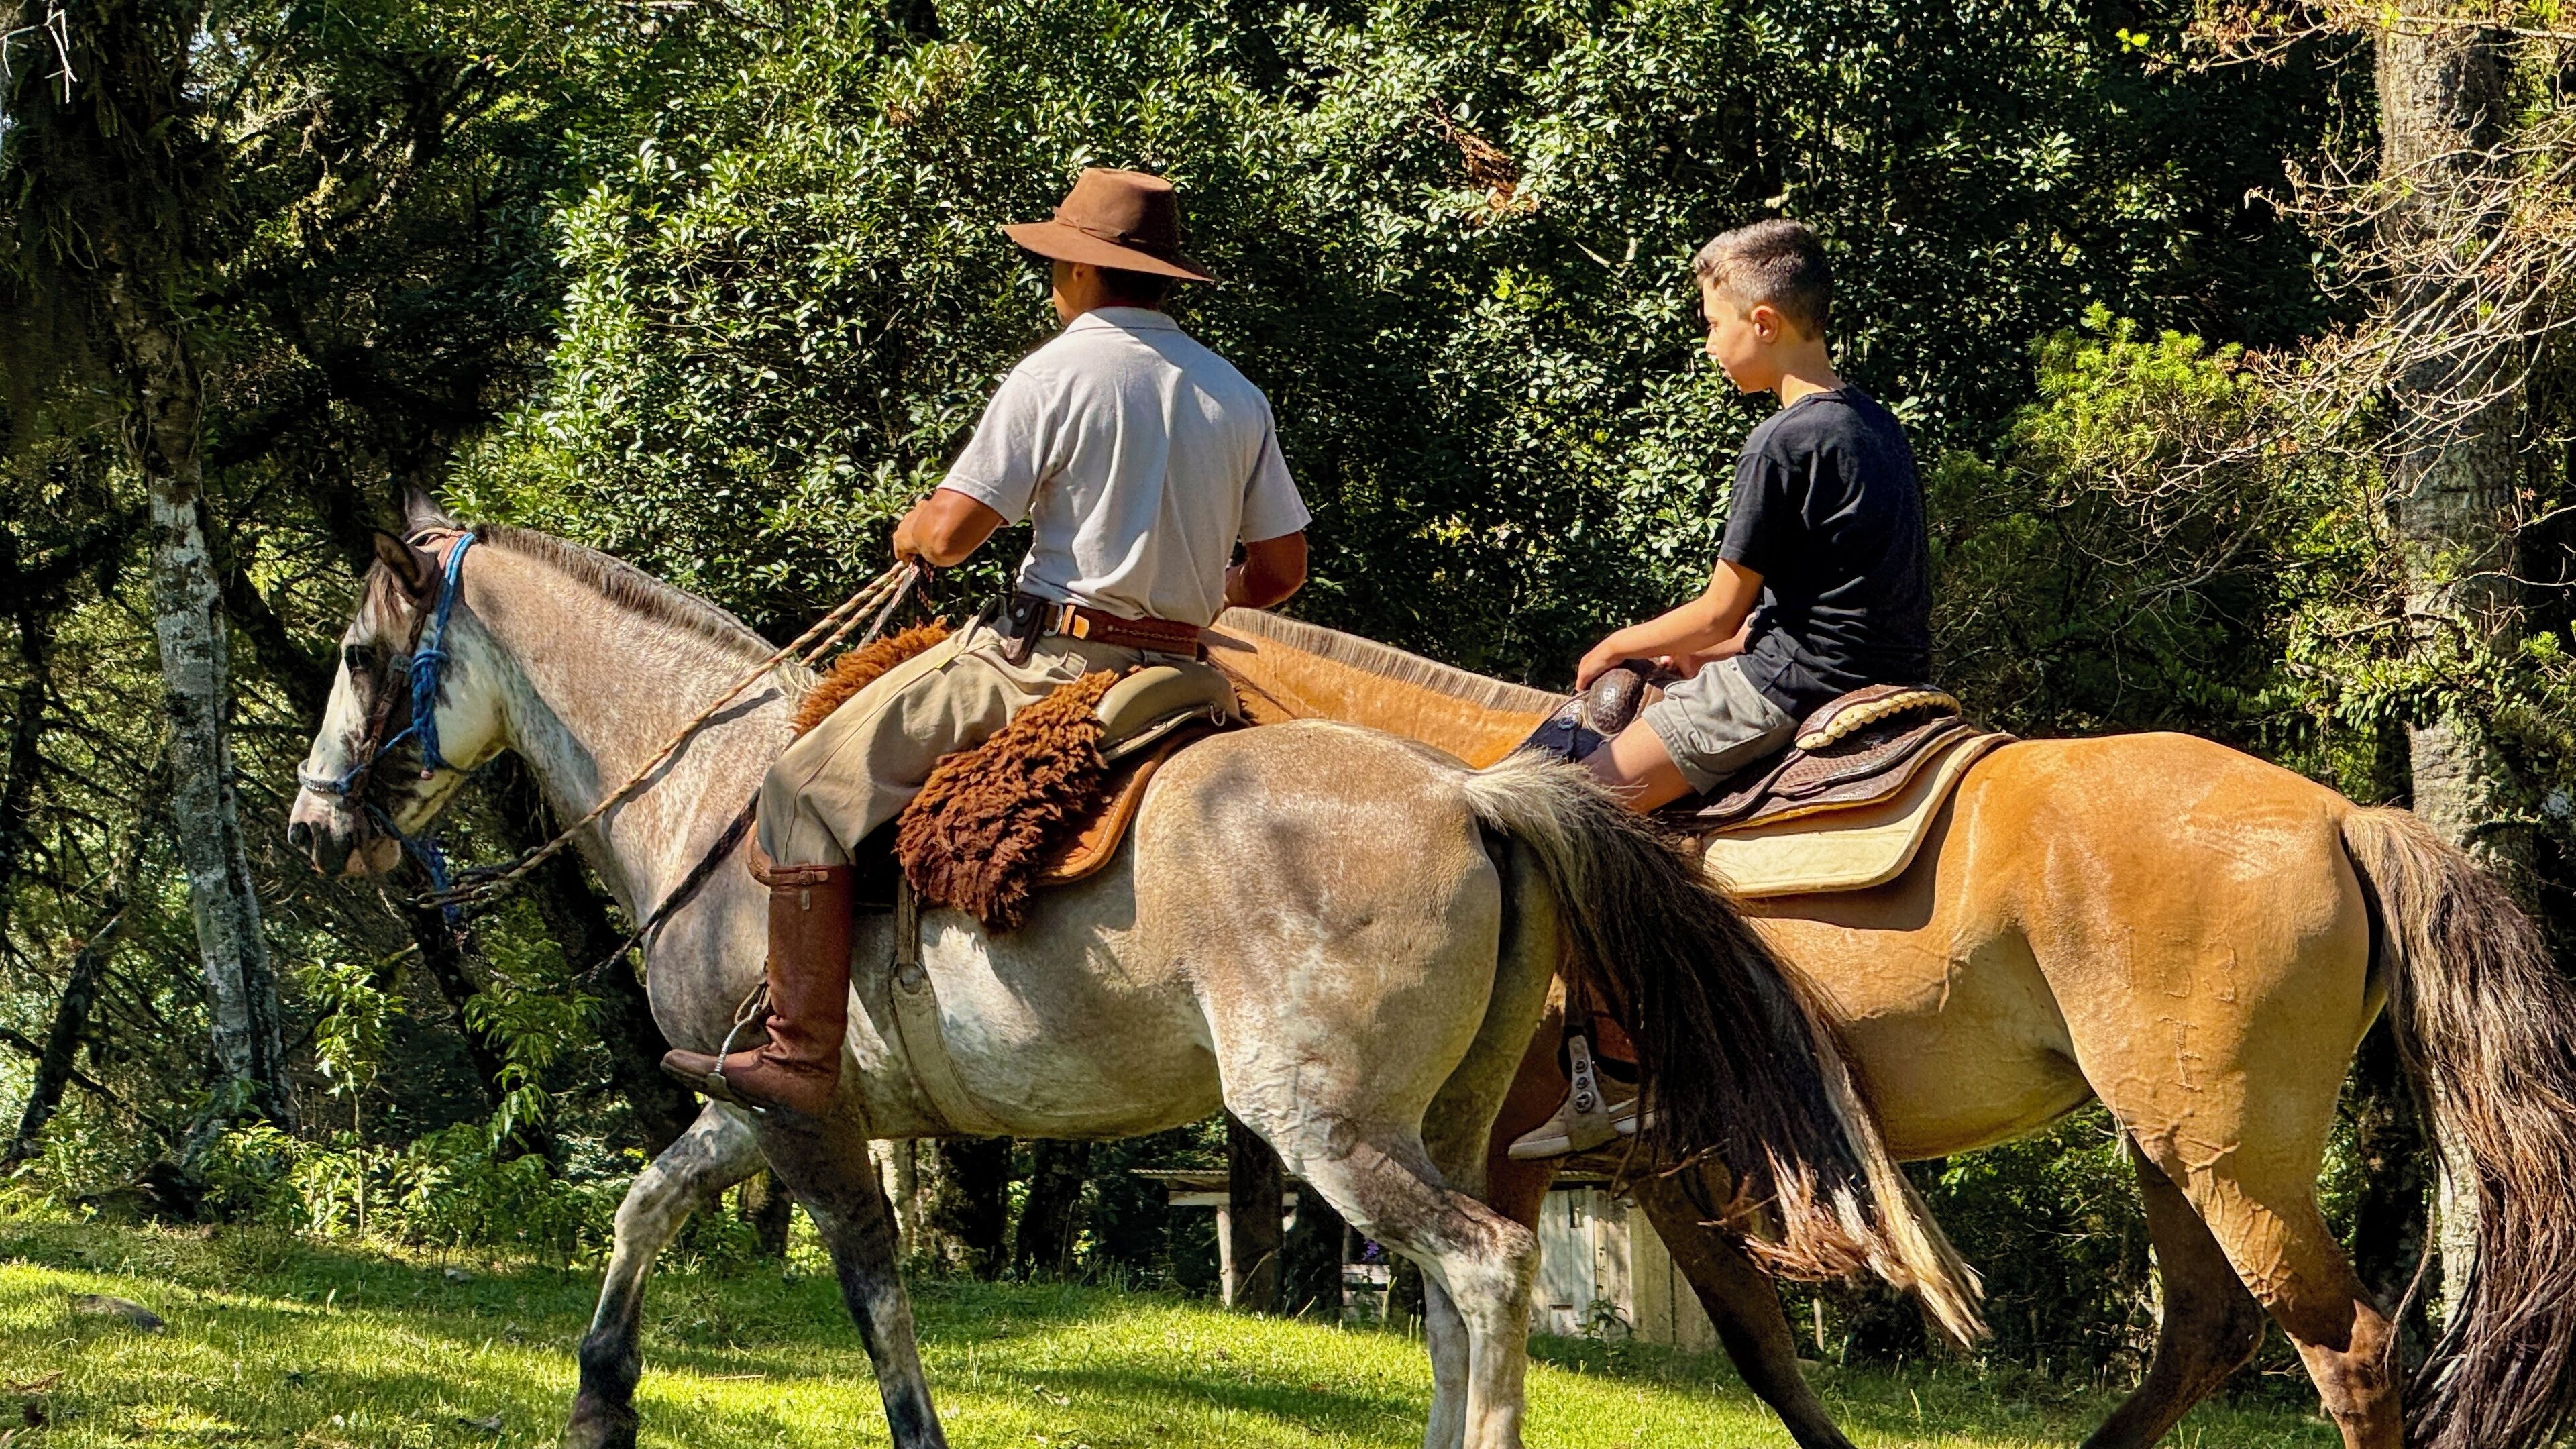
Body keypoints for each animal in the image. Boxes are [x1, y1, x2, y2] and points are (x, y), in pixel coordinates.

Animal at [284, 522, 1976, 1449]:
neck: (709, 785)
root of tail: (1474, 796)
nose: (309, 828)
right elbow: (645, 1209)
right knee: (1448, 1297)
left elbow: (870, 1280)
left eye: (362, 658)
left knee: (1487, 1271)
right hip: (1438, 1120)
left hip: (1326, 1126)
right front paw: (599, 1400)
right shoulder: (750, 1104)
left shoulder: (798, 1109)